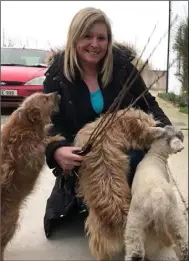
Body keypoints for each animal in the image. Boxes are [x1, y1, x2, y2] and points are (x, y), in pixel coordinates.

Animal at [0, 91, 60, 258]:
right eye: (45, 98)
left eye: (45, 94)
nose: (56, 92)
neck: (25, 124)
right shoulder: (31, 153)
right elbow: (42, 142)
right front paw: (56, 137)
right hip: (11, 221)